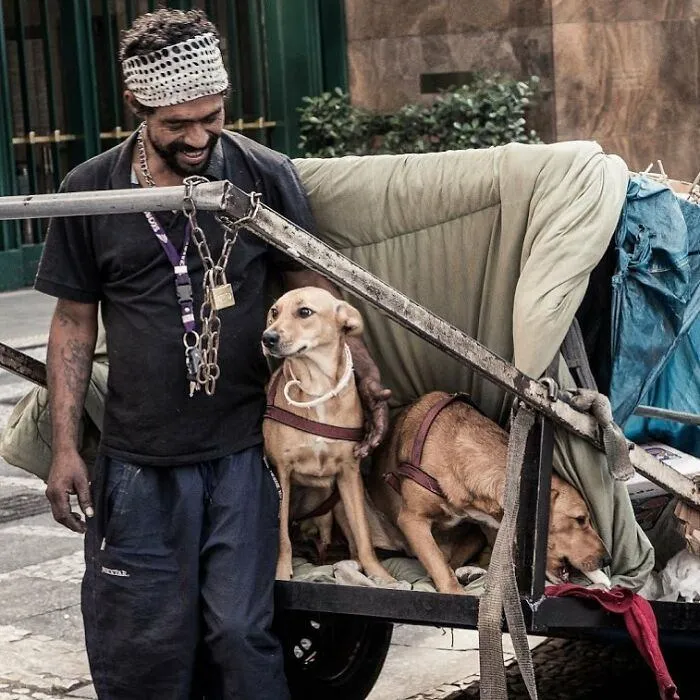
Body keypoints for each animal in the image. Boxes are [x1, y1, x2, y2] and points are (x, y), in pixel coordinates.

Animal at [262, 288, 394, 584]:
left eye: (304, 312)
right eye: (274, 312)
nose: (267, 337)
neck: (316, 386)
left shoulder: (349, 474)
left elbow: (364, 535)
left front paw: (379, 574)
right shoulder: (282, 473)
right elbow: (282, 537)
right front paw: (281, 572)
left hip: (335, 505)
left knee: (340, 541)